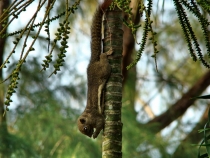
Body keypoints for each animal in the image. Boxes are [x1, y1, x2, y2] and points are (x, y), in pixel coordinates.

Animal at [77, 4, 112, 139]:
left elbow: (101, 122)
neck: (87, 115)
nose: (90, 136)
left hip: (104, 70)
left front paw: (96, 134)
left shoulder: (97, 118)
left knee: (104, 59)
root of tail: (92, 64)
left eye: (86, 128)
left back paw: (107, 53)